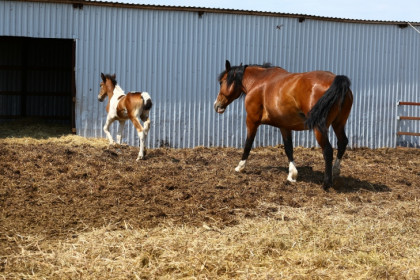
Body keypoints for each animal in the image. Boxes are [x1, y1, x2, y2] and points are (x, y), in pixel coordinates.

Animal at [215, 60, 352, 189]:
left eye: (221, 82)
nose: (217, 105)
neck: (258, 81)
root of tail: (336, 80)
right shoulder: (284, 126)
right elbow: (288, 148)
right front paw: (292, 174)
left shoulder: (252, 120)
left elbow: (248, 143)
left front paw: (240, 166)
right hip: (338, 124)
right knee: (342, 142)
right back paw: (335, 171)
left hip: (319, 128)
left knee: (327, 150)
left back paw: (326, 183)